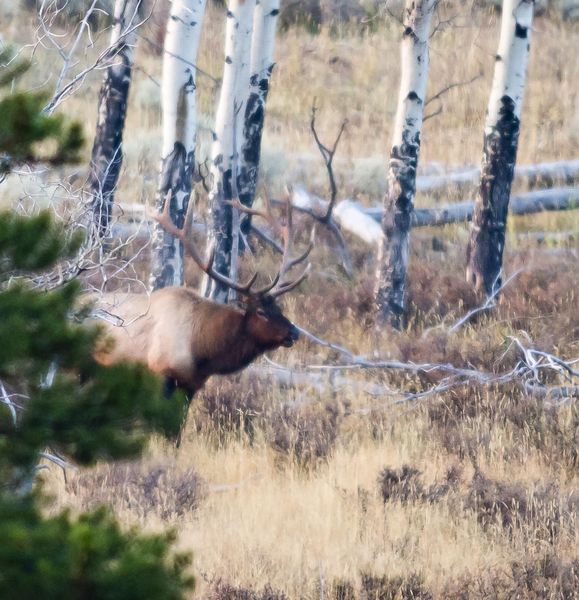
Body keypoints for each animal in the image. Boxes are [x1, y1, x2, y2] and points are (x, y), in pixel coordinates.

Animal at [92, 195, 312, 400]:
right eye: (260, 312)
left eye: (279, 308)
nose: (294, 332)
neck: (202, 351)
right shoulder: (161, 373)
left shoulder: (191, 385)